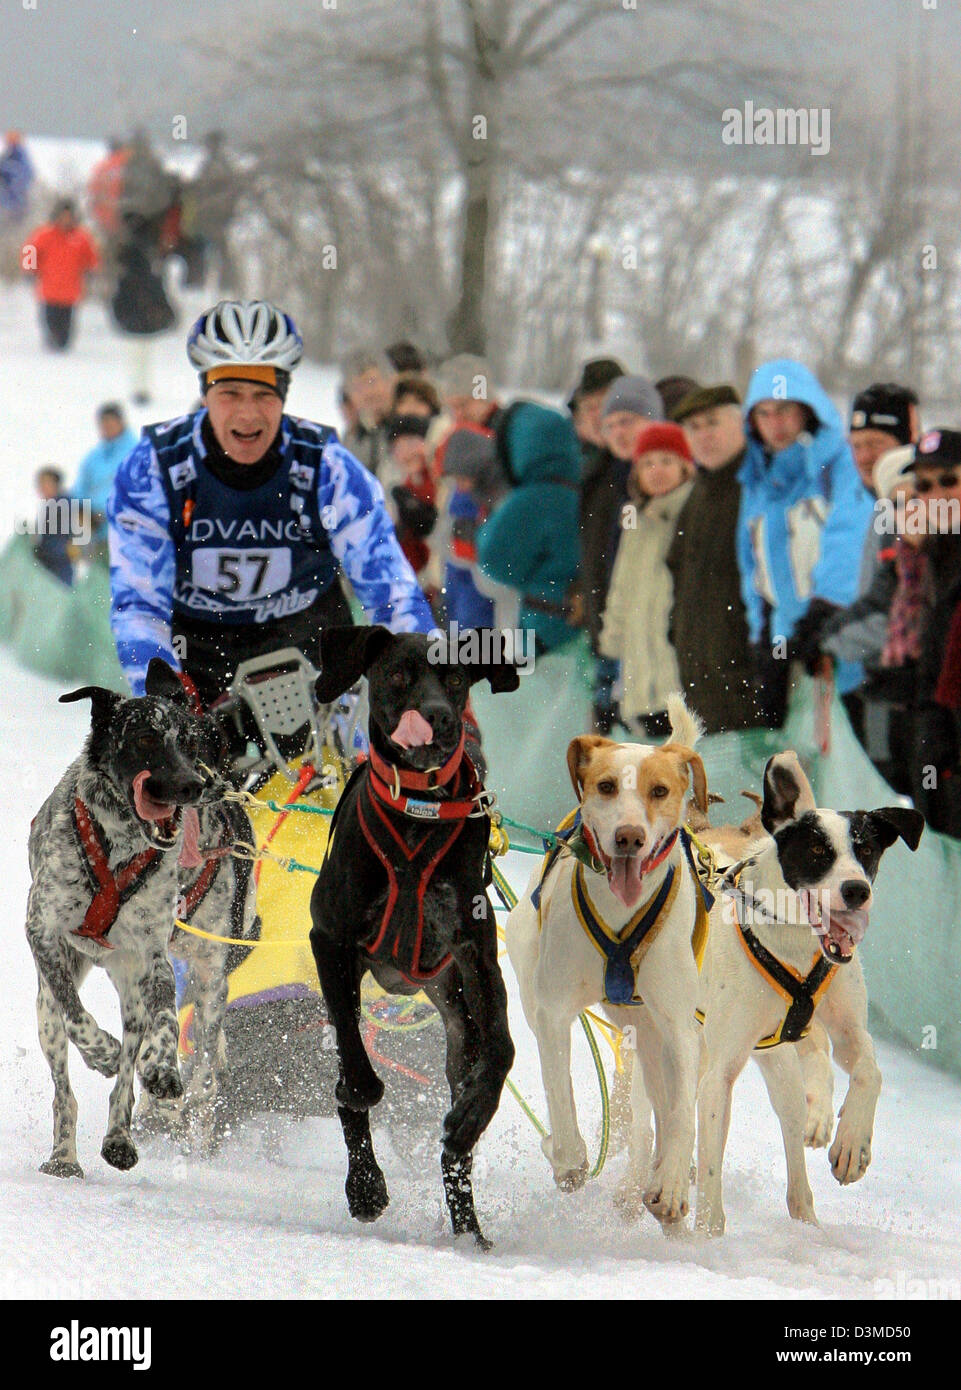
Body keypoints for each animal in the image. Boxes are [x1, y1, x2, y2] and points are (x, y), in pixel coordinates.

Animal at [25, 658, 223, 1173]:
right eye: (145, 739)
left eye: (191, 742)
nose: (193, 785)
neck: (119, 847)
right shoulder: (42, 932)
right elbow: (77, 1015)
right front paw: (102, 1050)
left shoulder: (153, 956)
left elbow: (167, 1019)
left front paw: (163, 1066)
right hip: (45, 1012)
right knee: (64, 1088)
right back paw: (64, 1155)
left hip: (131, 989)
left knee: (128, 1075)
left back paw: (119, 1136)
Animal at [308, 625, 520, 1245]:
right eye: (399, 674)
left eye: (456, 678)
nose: (438, 718)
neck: (419, 813)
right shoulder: (329, 940)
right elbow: (353, 1063)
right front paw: (361, 1106)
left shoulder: (476, 953)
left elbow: (502, 1049)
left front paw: (472, 1114)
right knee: (349, 1071)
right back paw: (365, 1185)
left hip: (455, 1015)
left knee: (458, 1143)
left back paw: (470, 1230)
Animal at [506, 695, 709, 1228]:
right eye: (607, 786)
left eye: (659, 790)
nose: (629, 837)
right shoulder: (554, 1011)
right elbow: (559, 1092)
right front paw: (570, 1158)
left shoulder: (680, 1026)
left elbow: (683, 1114)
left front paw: (672, 1183)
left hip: (653, 1036)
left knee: (663, 1104)